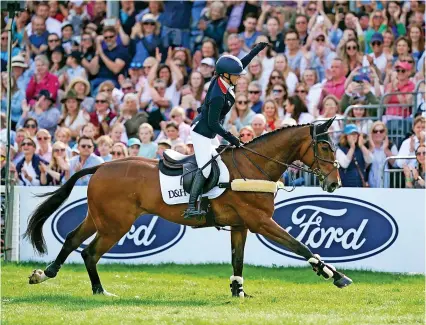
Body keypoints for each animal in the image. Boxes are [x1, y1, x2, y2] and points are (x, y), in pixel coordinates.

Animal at [25, 119, 352, 296]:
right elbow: (300, 245)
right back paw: (98, 291)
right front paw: (335, 275)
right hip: (115, 224)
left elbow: (237, 260)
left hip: (100, 218)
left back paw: (47, 274)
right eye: (325, 147)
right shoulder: (259, 221)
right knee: (90, 252)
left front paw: (238, 291)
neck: (253, 166)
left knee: (74, 242)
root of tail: (101, 167)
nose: (335, 183)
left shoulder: (240, 225)